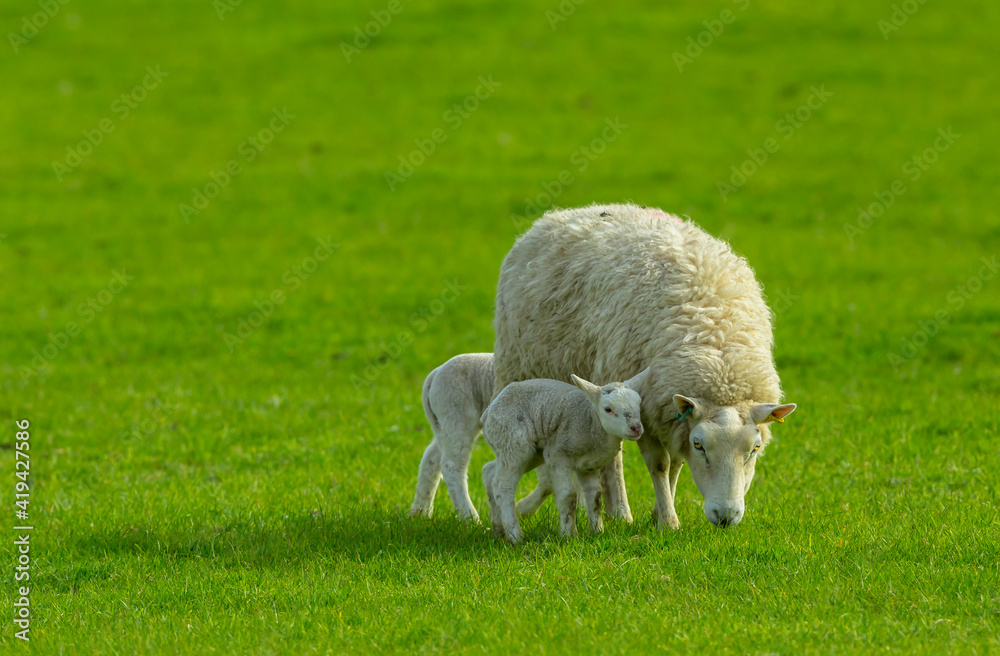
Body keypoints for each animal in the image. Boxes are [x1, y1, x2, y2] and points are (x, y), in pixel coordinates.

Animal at [410, 353, 494, 522]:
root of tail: (435, 373)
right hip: (457, 415)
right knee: (452, 466)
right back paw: (471, 519)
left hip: (442, 425)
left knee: (431, 457)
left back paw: (420, 512)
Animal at [481, 369, 649, 544]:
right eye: (608, 409)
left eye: (638, 404)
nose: (636, 428)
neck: (591, 420)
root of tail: (488, 411)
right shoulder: (557, 454)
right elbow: (568, 494)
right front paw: (569, 535)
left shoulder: (589, 464)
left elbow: (595, 496)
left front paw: (597, 532)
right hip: (513, 442)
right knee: (503, 487)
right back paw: (515, 536)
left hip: (526, 452)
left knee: (489, 472)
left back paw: (498, 530)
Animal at [493, 203, 797, 529]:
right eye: (700, 445)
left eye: (755, 448)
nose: (726, 516)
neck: (717, 347)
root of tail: (572, 211)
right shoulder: (649, 410)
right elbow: (660, 464)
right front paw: (668, 521)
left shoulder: (672, 415)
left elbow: (676, 463)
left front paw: (658, 513)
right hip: (525, 372)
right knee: (606, 458)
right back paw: (617, 513)